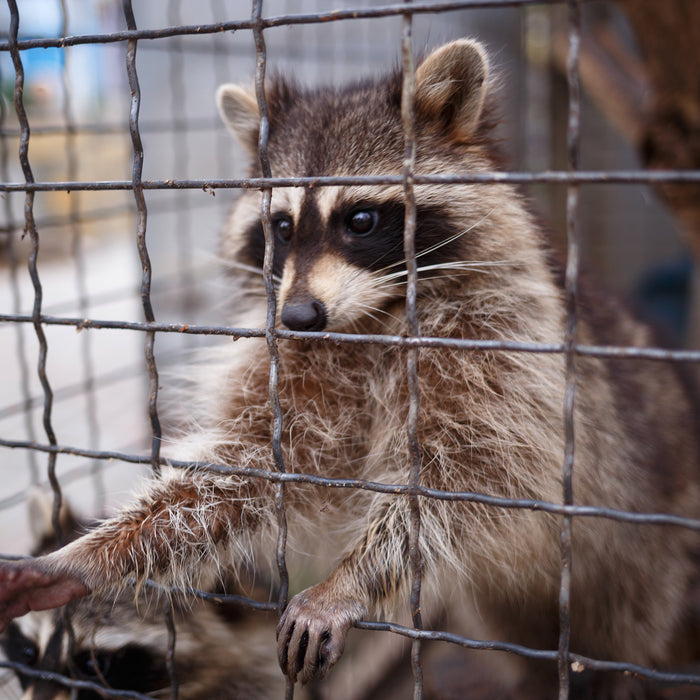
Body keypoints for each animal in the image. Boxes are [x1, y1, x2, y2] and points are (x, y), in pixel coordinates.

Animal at [0, 39, 699, 698]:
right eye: (281, 227)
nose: (300, 315)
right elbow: (248, 467)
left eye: (359, 219)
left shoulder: (503, 346)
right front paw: (88, 554)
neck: (369, 319)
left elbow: (470, 475)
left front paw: (351, 579)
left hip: (649, 576)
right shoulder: (295, 359)